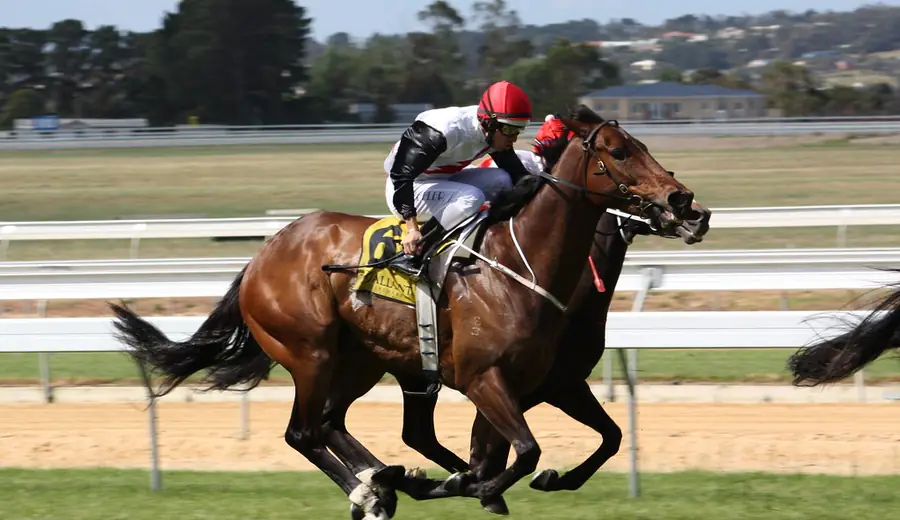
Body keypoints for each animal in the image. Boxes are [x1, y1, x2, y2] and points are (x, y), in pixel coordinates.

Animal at [110, 111, 699, 519]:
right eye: (619, 152)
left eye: (645, 147)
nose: (685, 200)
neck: (520, 266)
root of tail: (262, 256)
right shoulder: (487, 379)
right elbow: (523, 452)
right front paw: (466, 485)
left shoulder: (544, 381)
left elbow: (601, 439)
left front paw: (481, 483)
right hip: (310, 352)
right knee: (304, 432)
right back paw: (371, 491)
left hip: (362, 361)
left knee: (332, 423)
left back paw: (381, 480)